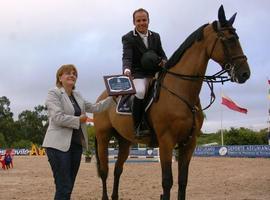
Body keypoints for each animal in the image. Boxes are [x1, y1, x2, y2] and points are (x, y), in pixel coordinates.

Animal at [94, 5, 250, 200]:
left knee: (117, 170)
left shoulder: (189, 144)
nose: (245, 73)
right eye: (229, 40)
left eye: (237, 38)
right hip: (103, 138)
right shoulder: (166, 141)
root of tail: (101, 97)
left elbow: (183, 181)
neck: (182, 90)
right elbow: (167, 181)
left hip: (124, 141)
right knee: (105, 171)